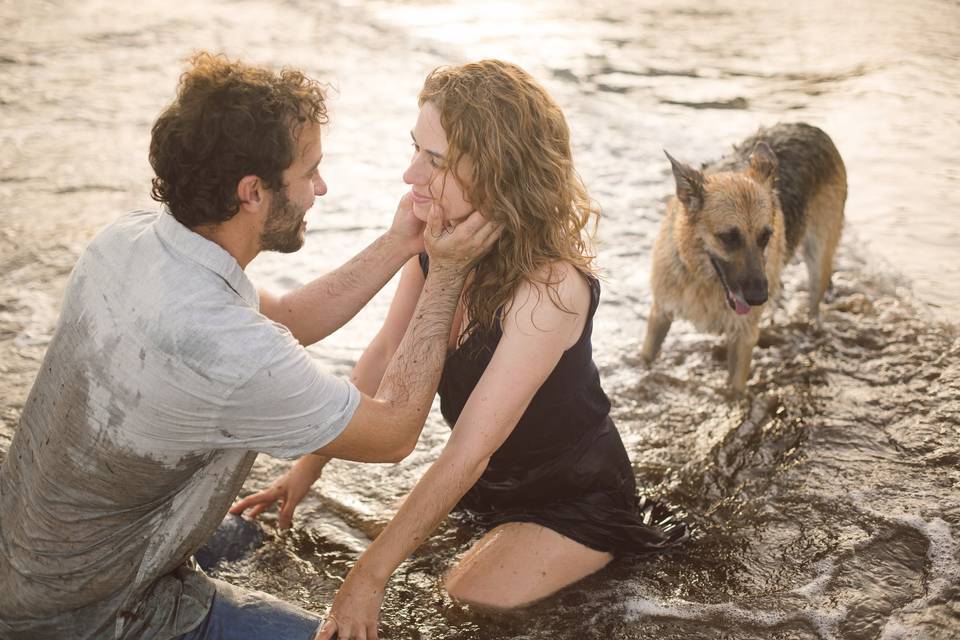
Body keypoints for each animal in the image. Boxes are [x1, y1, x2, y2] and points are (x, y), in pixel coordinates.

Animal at [640, 121, 844, 390]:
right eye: (728, 237)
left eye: (765, 236)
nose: (759, 298)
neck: (703, 279)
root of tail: (807, 126)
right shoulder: (660, 315)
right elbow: (646, 357)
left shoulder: (743, 337)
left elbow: (736, 389)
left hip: (818, 260)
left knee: (814, 305)